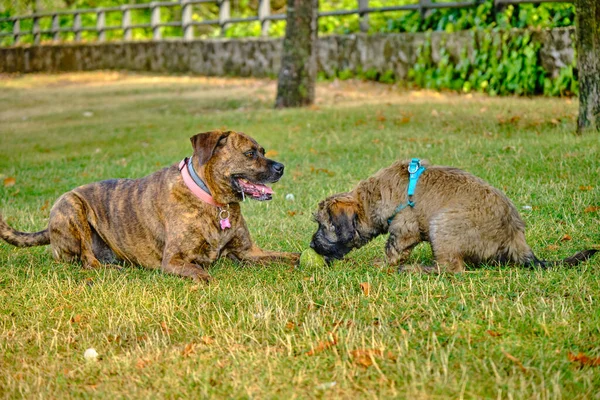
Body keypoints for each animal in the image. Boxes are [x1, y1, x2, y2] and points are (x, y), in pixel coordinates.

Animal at [0, 131, 300, 282]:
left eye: (263, 151)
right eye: (250, 154)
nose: (281, 167)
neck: (212, 201)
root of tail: (48, 228)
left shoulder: (249, 252)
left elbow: (293, 258)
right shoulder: (174, 260)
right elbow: (202, 274)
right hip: (72, 206)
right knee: (87, 262)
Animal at [310, 159, 596, 272]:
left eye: (323, 226)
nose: (312, 245)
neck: (372, 198)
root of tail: (515, 237)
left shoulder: (405, 229)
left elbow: (393, 249)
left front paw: (381, 264)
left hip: (443, 224)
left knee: (452, 268)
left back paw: (416, 269)